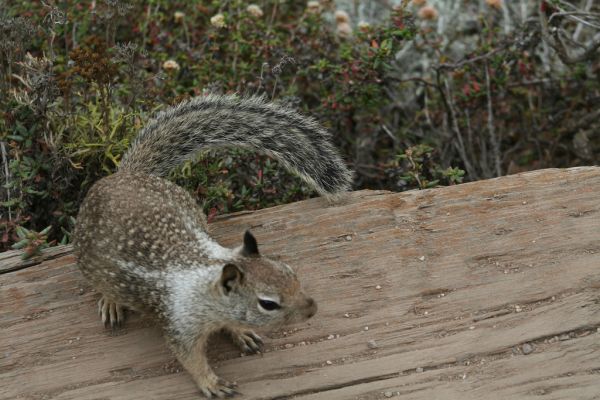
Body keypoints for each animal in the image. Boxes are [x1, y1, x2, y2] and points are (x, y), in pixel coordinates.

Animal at [71, 94, 352, 396]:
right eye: (268, 304)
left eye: (291, 272)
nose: (313, 308)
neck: (208, 271)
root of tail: (122, 175)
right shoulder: (181, 326)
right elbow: (191, 359)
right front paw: (212, 383)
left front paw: (242, 333)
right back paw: (111, 303)